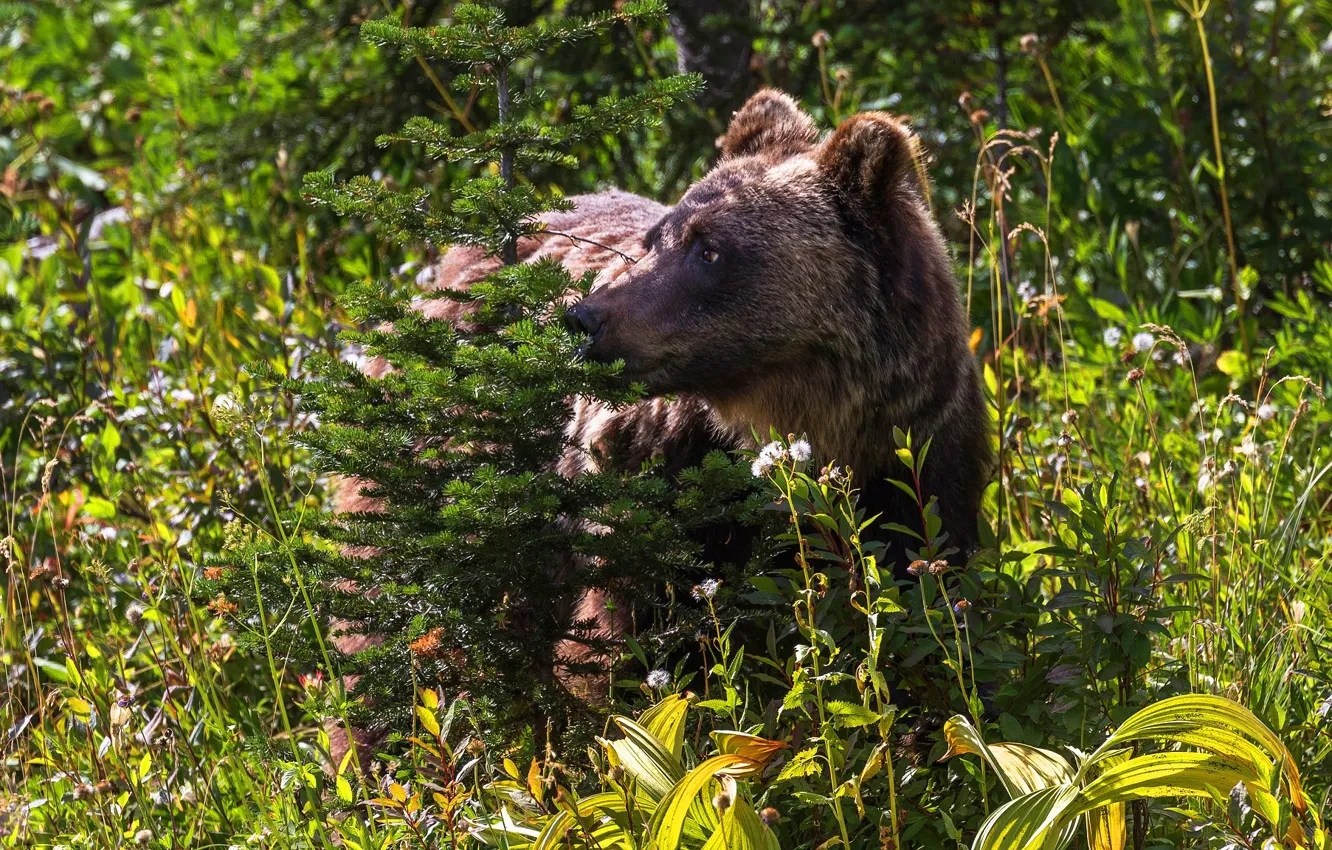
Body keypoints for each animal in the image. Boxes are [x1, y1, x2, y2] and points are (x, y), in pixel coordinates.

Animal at [328, 89, 992, 766]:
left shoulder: (920, 470)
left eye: (711, 249)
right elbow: (624, 652)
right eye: (656, 238)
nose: (585, 318)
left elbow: (922, 624)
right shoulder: (656, 497)